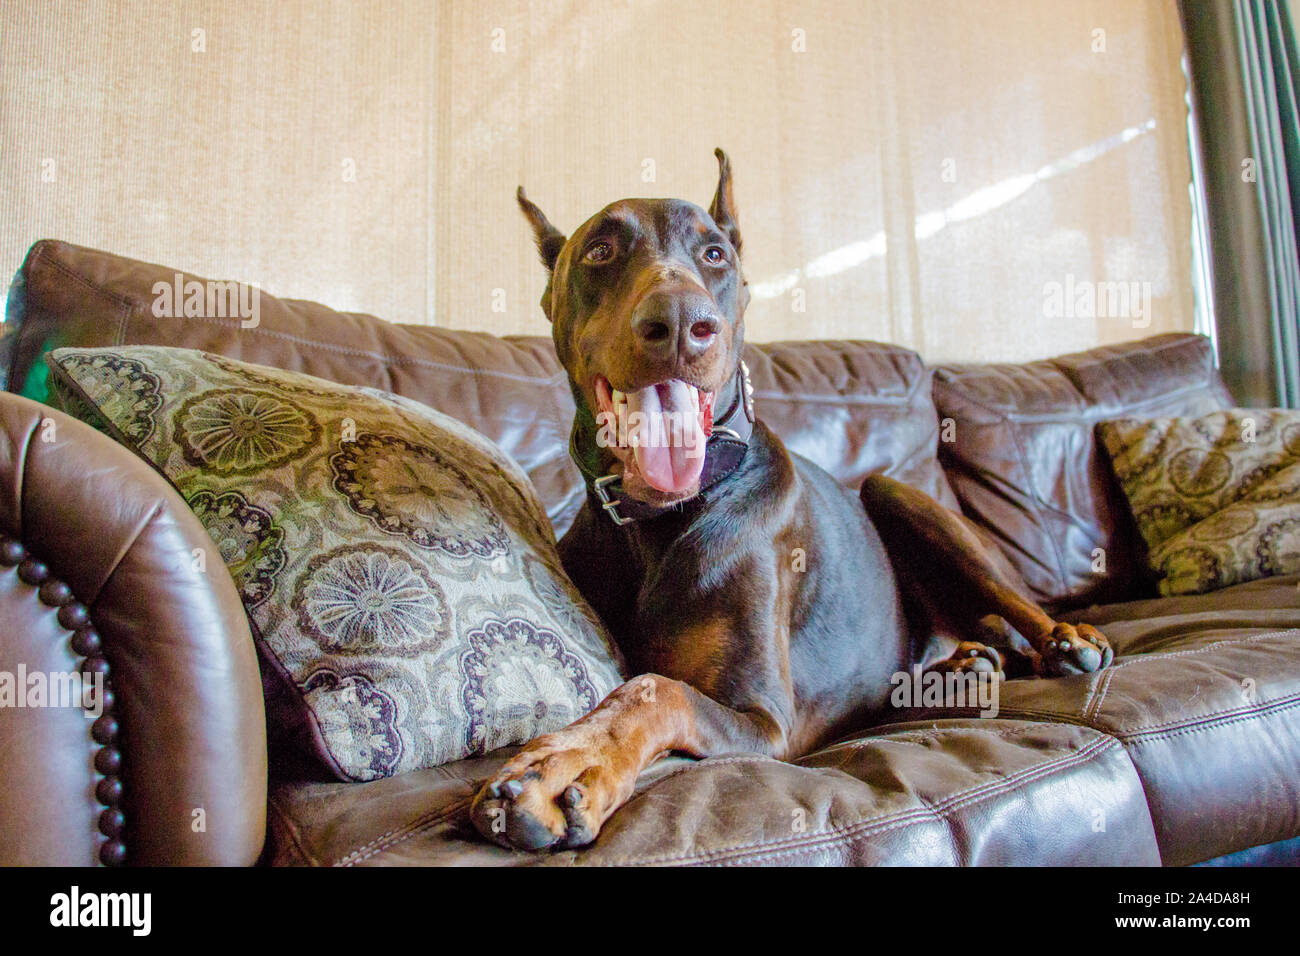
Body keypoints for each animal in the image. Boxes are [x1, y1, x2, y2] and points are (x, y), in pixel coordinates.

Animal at [467, 149, 1107, 853]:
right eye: (601, 250)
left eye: (715, 254)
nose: (682, 324)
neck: (658, 520)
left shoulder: (767, 719)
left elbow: (656, 690)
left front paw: (565, 765)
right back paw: (963, 665)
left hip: (897, 493)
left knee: (1012, 601)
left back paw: (1065, 641)